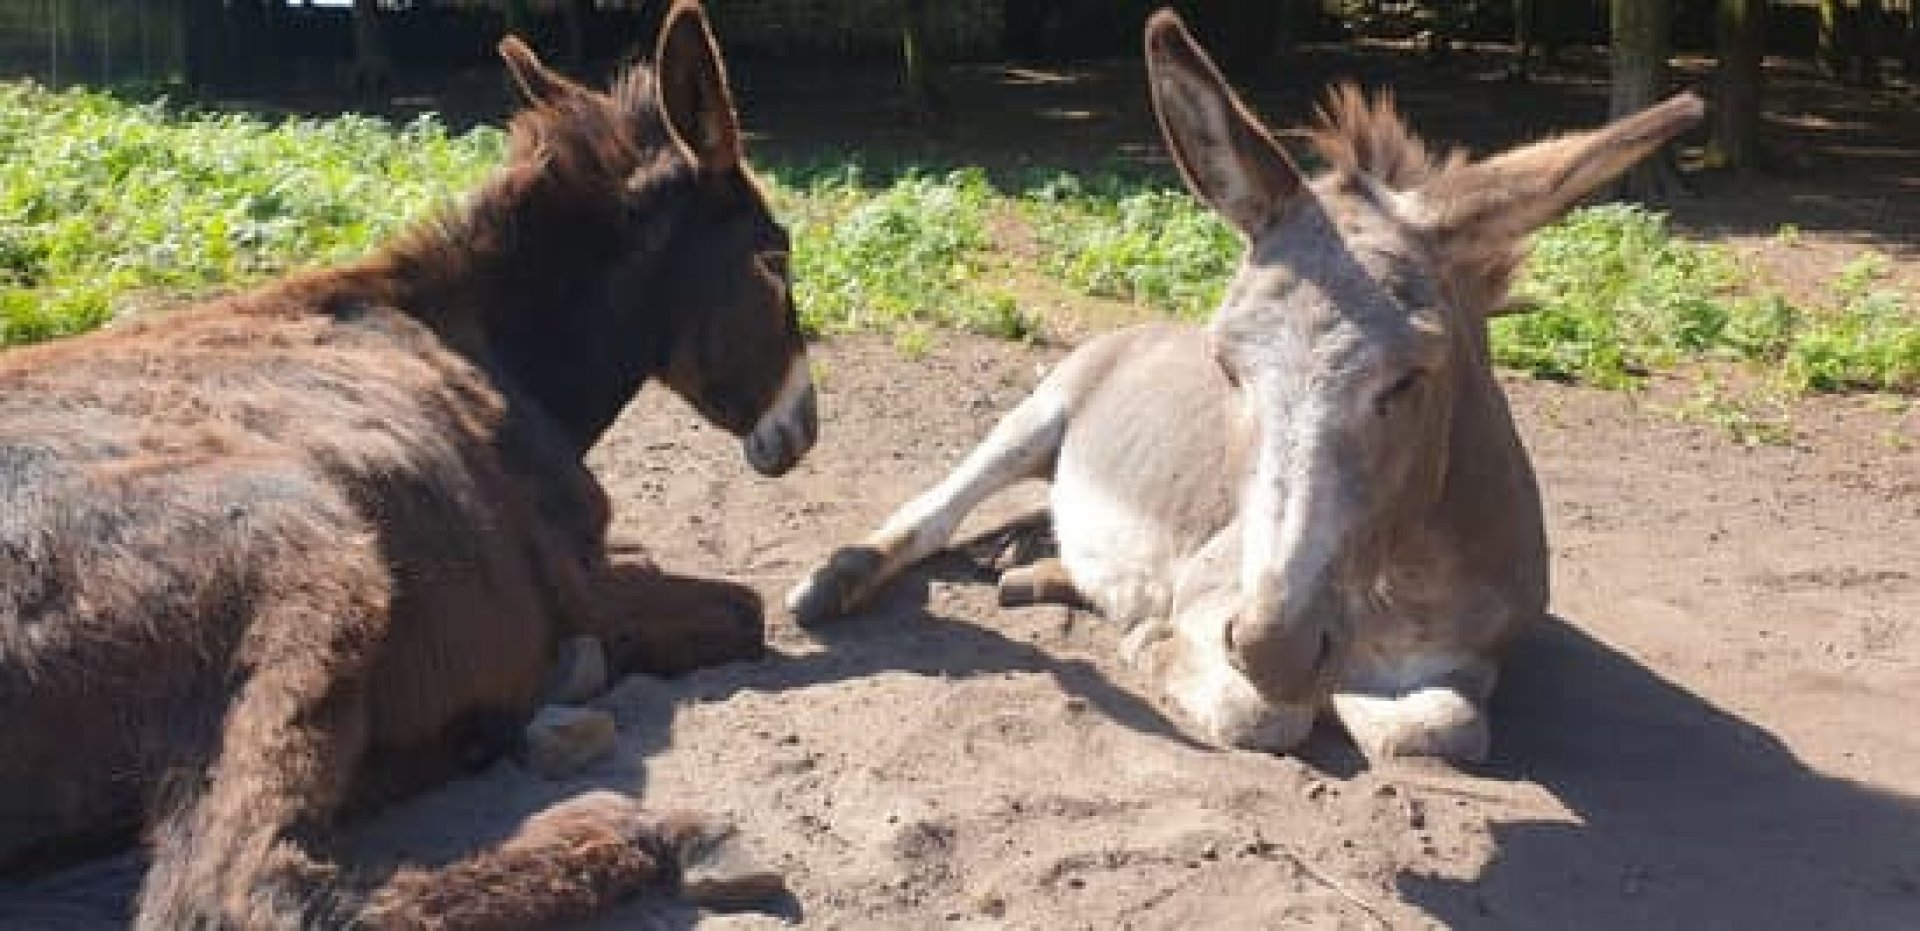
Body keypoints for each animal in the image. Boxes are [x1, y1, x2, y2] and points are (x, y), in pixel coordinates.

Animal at [0, 2, 815, 926]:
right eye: (775, 260)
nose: (805, 426)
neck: (485, 345)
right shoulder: (578, 582)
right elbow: (744, 610)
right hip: (304, 545)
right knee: (239, 891)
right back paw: (640, 830)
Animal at [788, 10, 1702, 767]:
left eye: (1411, 377)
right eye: (1228, 367)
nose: (1276, 646)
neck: (1398, 582)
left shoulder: (1471, 660)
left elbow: (1436, 727)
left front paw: (1355, 698)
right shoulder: (1216, 599)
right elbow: (1264, 712)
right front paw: (1165, 650)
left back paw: (1037, 573)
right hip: (1038, 413)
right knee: (934, 511)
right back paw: (837, 584)